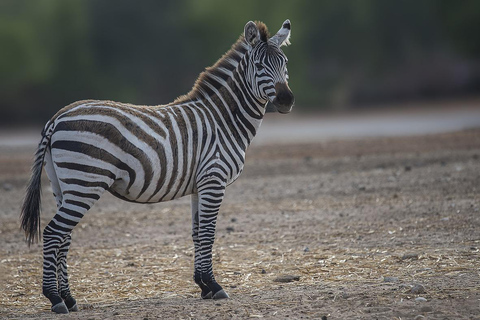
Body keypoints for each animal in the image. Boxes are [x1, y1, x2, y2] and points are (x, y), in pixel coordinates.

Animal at [21, 19, 292, 312]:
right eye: (259, 65)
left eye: (285, 62)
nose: (286, 101)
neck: (224, 120)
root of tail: (57, 117)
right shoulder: (214, 179)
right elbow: (208, 233)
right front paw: (215, 285)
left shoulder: (200, 185)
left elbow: (197, 233)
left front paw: (203, 285)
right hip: (86, 182)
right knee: (53, 233)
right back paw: (55, 298)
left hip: (63, 185)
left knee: (64, 237)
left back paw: (69, 299)